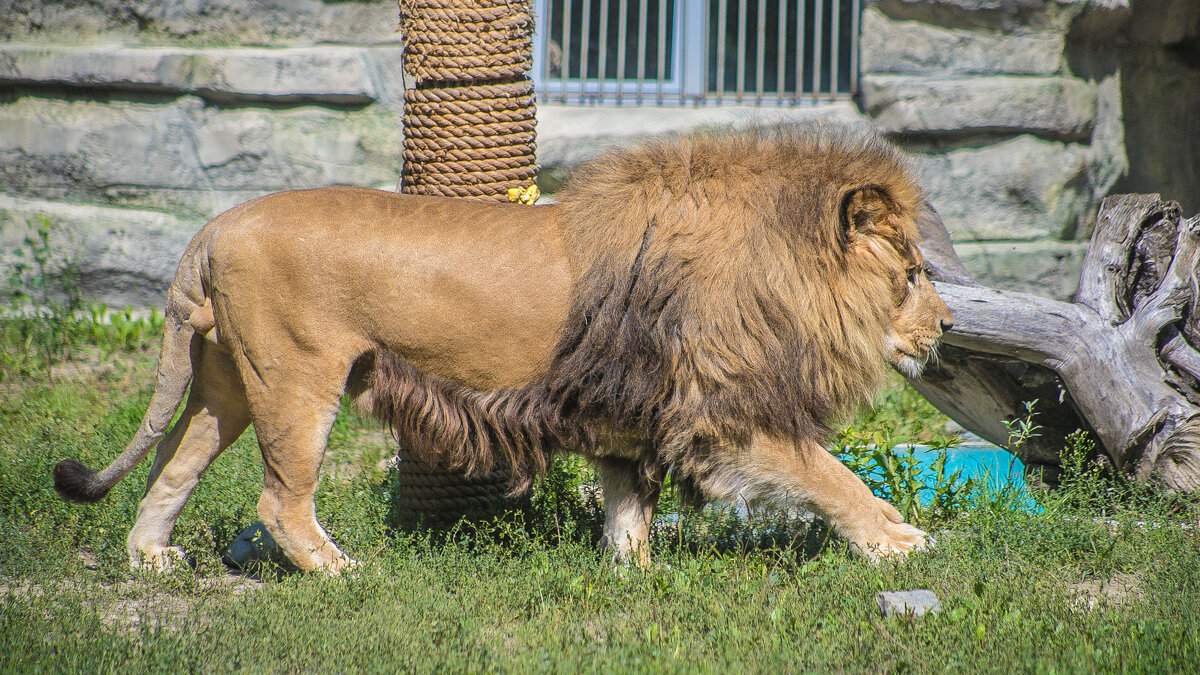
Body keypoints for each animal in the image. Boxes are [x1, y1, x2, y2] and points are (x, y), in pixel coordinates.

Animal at [54, 124, 955, 566]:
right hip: (296, 380)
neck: (782, 266)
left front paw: (636, 578)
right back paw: (342, 570)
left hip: (230, 385)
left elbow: (630, 510)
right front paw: (899, 542)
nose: (947, 326)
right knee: (280, 500)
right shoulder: (725, 410)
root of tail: (214, 224)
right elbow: (832, 476)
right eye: (912, 273)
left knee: (173, 465)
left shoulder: (632, 415)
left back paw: (149, 558)